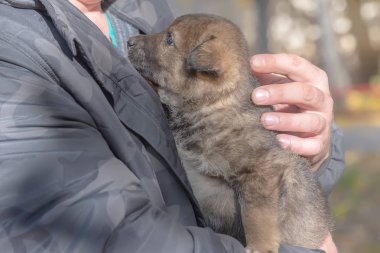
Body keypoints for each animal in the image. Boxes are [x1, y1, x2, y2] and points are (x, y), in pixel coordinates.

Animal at [129, 14, 332, 253]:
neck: (213, 106)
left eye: (169, 40)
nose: (129, 41)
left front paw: (260, 246)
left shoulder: (261, 171)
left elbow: (256, 215)